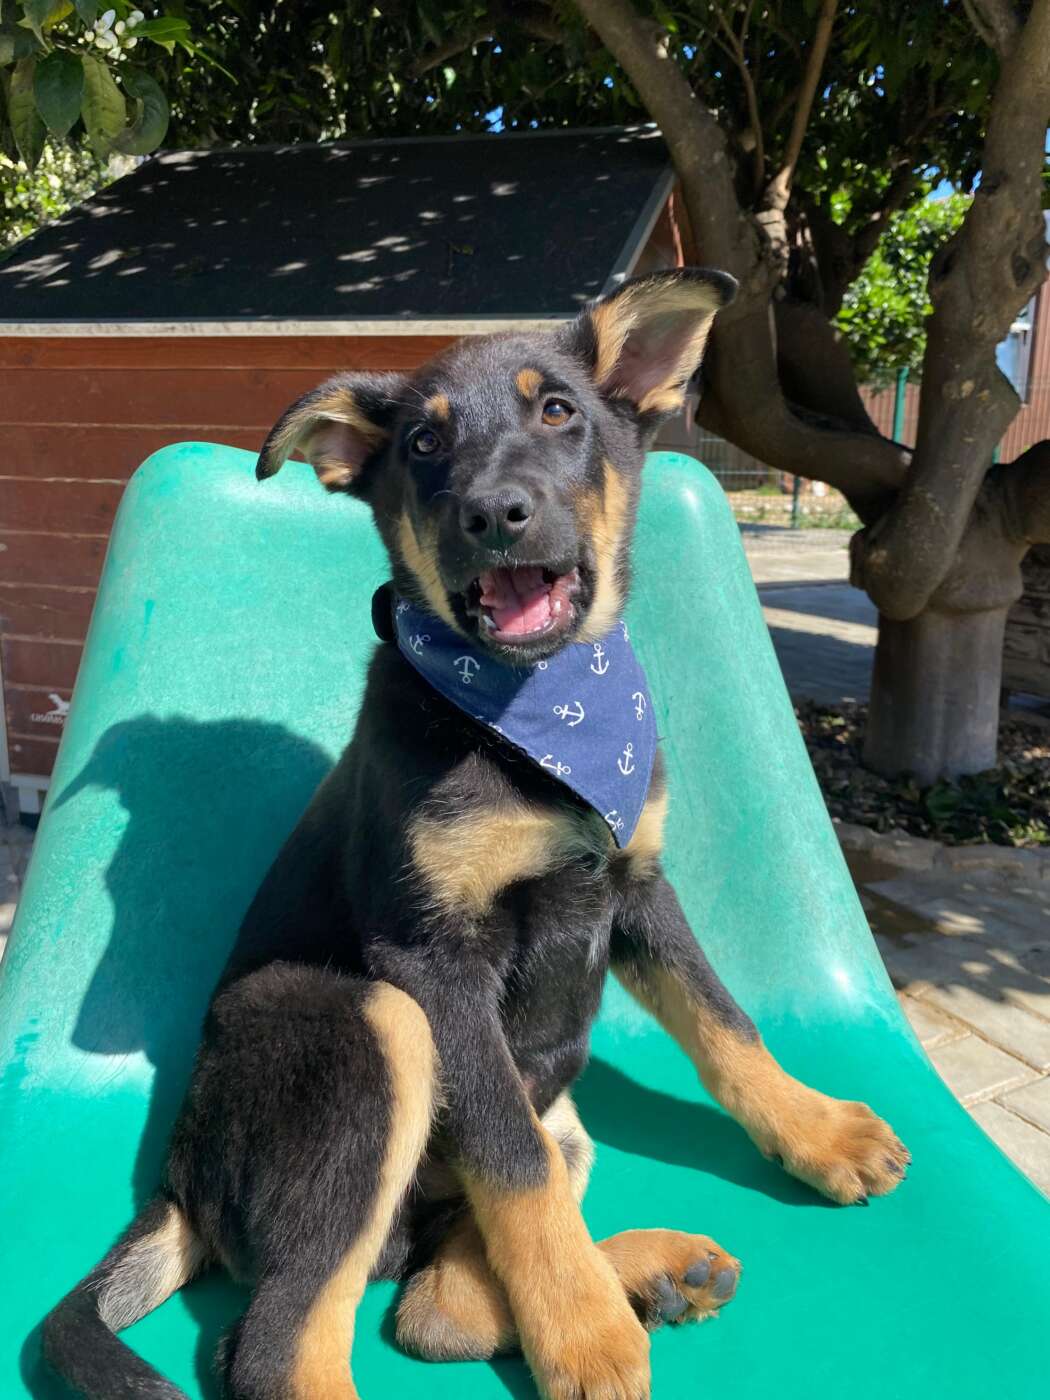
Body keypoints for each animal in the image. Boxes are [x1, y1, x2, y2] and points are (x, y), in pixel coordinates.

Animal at [43, 268, 908, 1400]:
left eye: (561, 412)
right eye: (422, 443)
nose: (493, 514)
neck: (532, 715)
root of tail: (181, 1183)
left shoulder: (635, 880)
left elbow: (725, 1022)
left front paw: (819, 1130)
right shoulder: (434, 961)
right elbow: (512, 1157)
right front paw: (583, 1333)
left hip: (557, 1107)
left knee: (436, 1305)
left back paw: (655, 1272)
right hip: (377, 1022)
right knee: (280, 1343)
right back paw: (611, 1295)